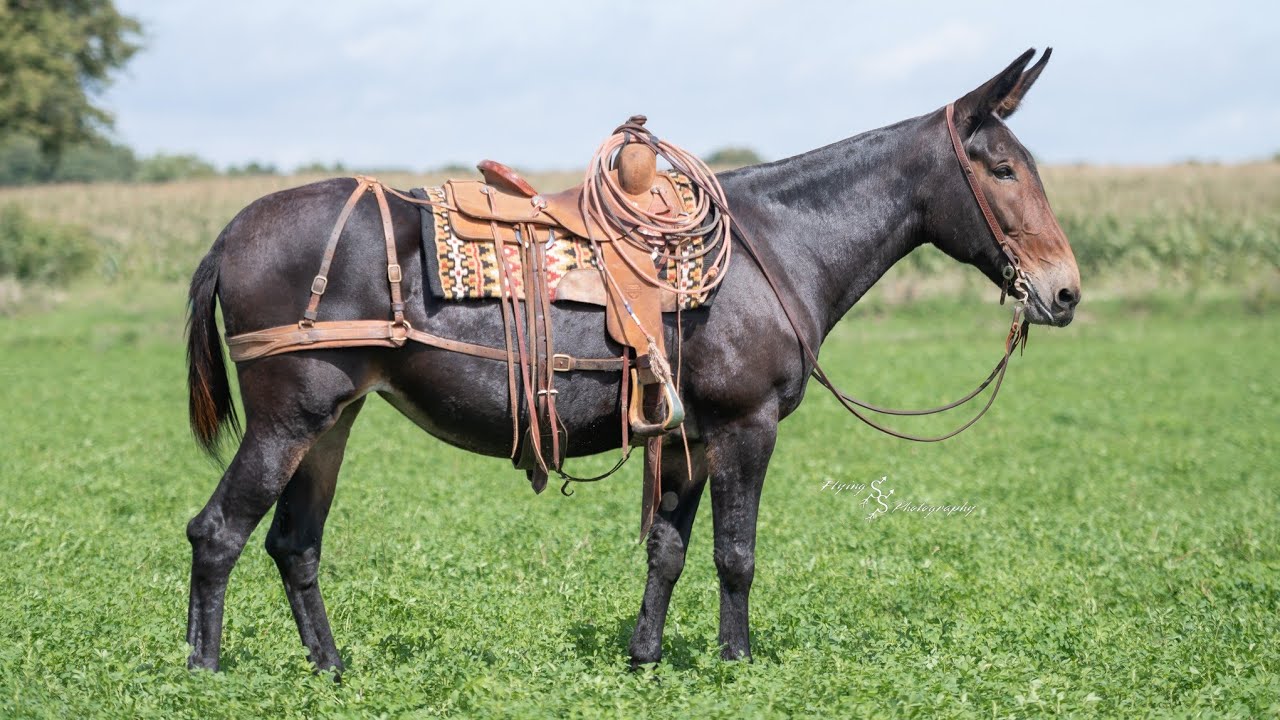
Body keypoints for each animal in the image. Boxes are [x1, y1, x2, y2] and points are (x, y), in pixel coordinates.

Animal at [183, 48, 1080, 672]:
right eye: (1002, 169)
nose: (1065, 291)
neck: (774, 246)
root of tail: (231, 234)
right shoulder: (746, 426)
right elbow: (735, 555)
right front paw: (737, 665)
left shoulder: (688, 436)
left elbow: (668, 550)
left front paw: (645, 659)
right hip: (288, 417)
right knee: (218, 532)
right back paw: (205, 670)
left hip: (332, 421)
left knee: (293, 545)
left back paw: (330, 670)